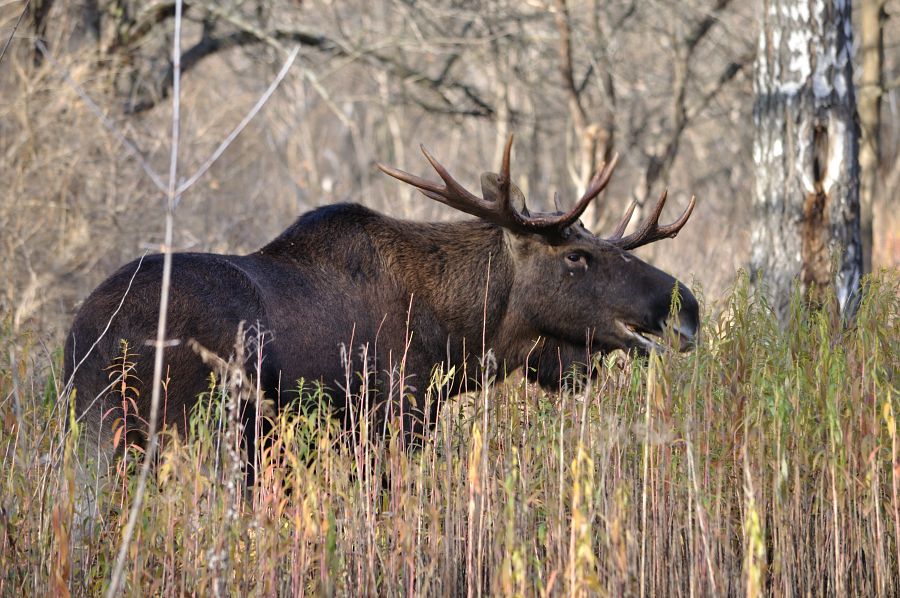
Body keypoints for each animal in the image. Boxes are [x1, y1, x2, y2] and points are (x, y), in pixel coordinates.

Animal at [65, 137, 696, 474]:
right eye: (575, 258)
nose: (684, 305)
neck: (455, 339)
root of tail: (89, 338)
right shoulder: (392, 419)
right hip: (175, 430)